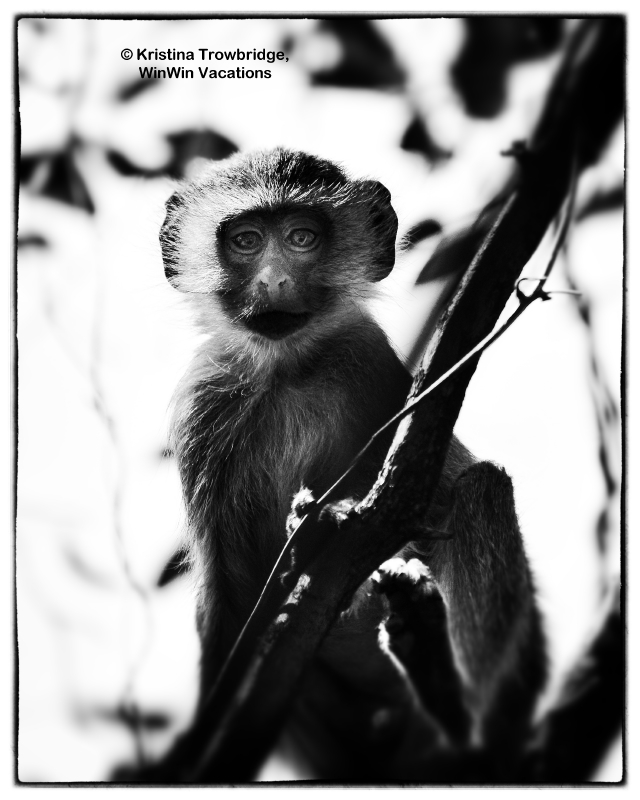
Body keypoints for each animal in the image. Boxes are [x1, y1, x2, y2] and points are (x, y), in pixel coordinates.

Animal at [158, 148, 547, 781]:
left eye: (302, 238)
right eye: (245, 241)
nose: (274, 280)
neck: (289, 369)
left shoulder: (371, 363)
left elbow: (421, 509)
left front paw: (323, 528)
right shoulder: (204, 405)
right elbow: (228, 608)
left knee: (481, 488)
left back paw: (457, 710)